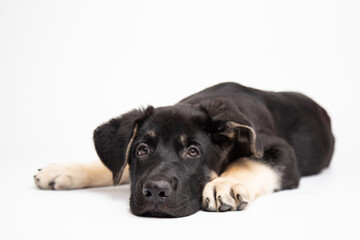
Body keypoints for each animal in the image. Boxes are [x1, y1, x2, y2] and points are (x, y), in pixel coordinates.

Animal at [34, 82, 334, 218]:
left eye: (193, 152)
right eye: (141, 150)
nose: (155, 192)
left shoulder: (279, 150)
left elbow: (249, 162)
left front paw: (224, 184)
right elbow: (117, 167)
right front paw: (64, 170)